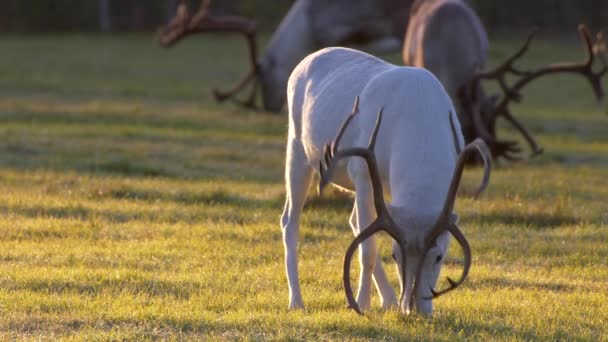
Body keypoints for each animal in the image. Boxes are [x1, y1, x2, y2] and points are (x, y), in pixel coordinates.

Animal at [282, 46, 492, 316]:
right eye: (394, 255)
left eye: (439, 256)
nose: (414, 309)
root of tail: (304, 61)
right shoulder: (361, 173)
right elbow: (368, 249)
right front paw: (360, 304)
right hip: (297, 147)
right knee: (290, 220)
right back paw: (296, 301)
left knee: (353, 220)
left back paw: (389, 299)